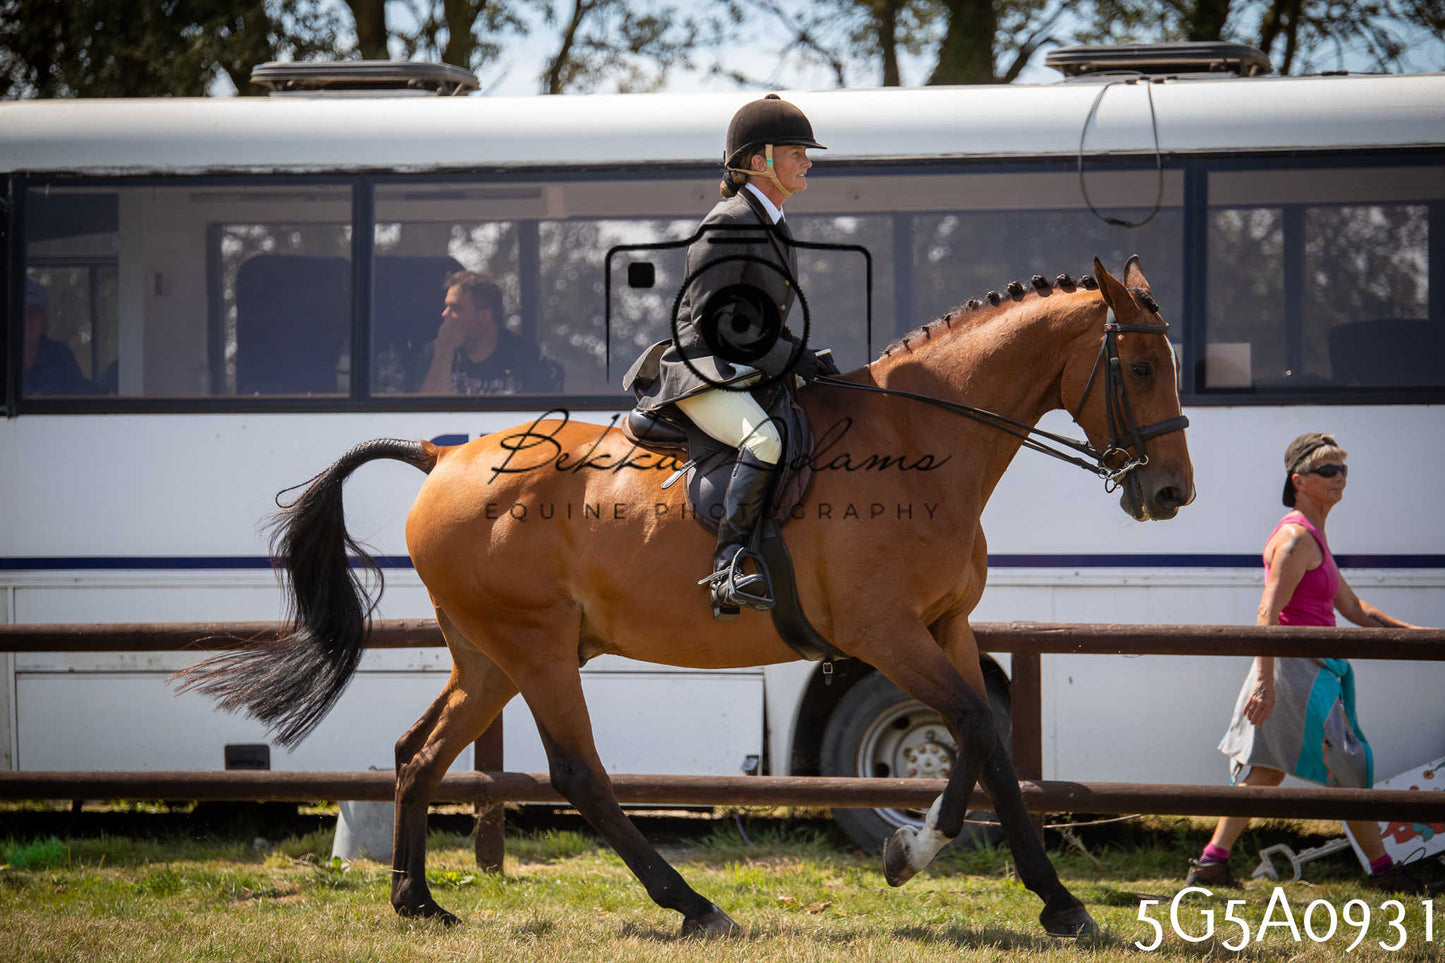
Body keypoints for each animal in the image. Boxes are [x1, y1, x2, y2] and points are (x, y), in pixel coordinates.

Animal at [177, 255, 1193, 940]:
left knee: (418, 751)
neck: (922, 443)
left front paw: (1053, 901)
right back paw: (691, 903)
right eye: (1141, 369)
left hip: (491, 654)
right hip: (536, 648)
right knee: (575, 772)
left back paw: (417, 901)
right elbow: (973, 730)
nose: (1170, 493)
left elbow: (992, 744)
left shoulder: (945, 625)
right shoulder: (884, 630)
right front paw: (919, 854)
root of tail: (442, 457)